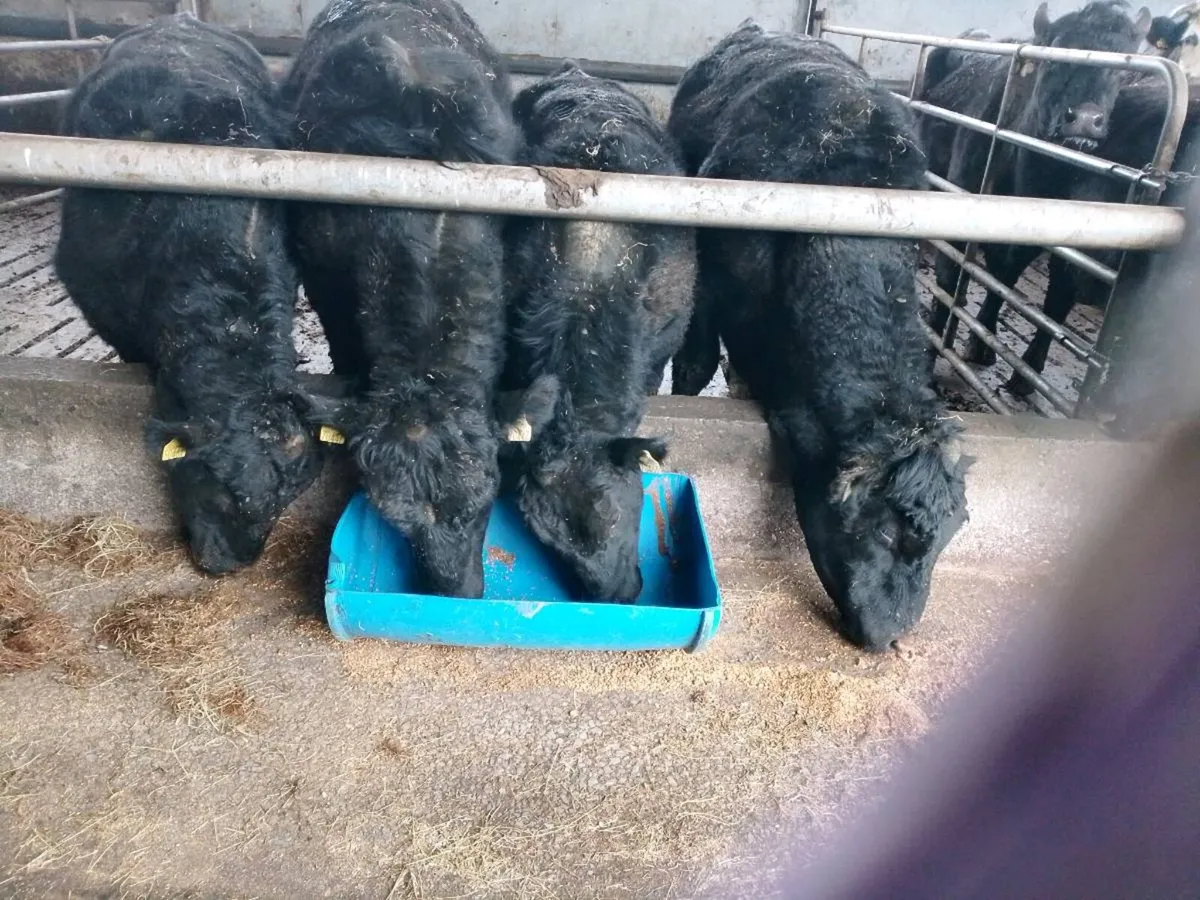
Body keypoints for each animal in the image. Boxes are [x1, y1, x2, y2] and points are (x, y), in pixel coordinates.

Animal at [922, 1, 1152, 365]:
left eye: (1120, 69)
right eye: (1054, 57)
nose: (1085, 120)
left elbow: (1009, 284)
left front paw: (987, 344)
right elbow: (948, 280)